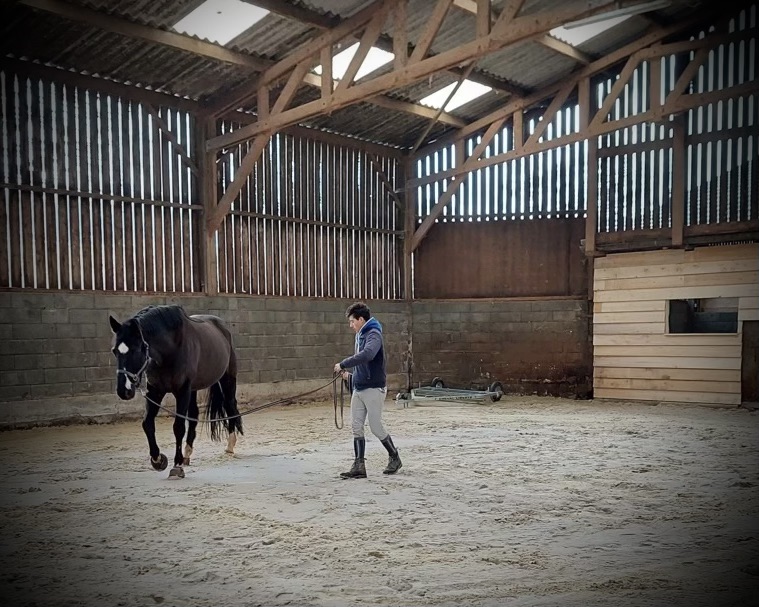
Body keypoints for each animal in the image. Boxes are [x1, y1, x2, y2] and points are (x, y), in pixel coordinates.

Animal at [107, 304, 242, 480]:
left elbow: (178, 427)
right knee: (194, 415)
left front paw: (176, 466)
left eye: (136, 350)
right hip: (193, 389)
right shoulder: (155, 391)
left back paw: (230, 446)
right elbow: (147, 423)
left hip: (226, 379)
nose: (124, 390)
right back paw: (187, 454)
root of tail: (222, 327)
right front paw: (158, 460)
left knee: (230, 406)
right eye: (115, 351)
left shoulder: (182, 390)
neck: (170, 350)